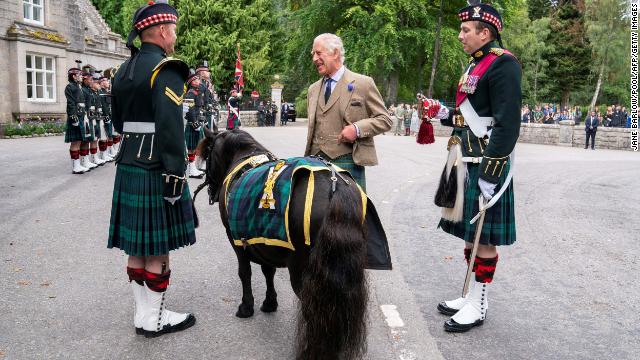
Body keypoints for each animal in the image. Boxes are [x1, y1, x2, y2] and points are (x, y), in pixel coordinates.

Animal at [192, 128, 368, 358]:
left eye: (207, 156)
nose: (210, 191)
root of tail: (334, 186)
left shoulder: (235, 240)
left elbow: (244, 272)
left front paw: (246, 306)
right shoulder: (264, 237)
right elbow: (268, 271)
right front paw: (269, 302)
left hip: (303, 274)